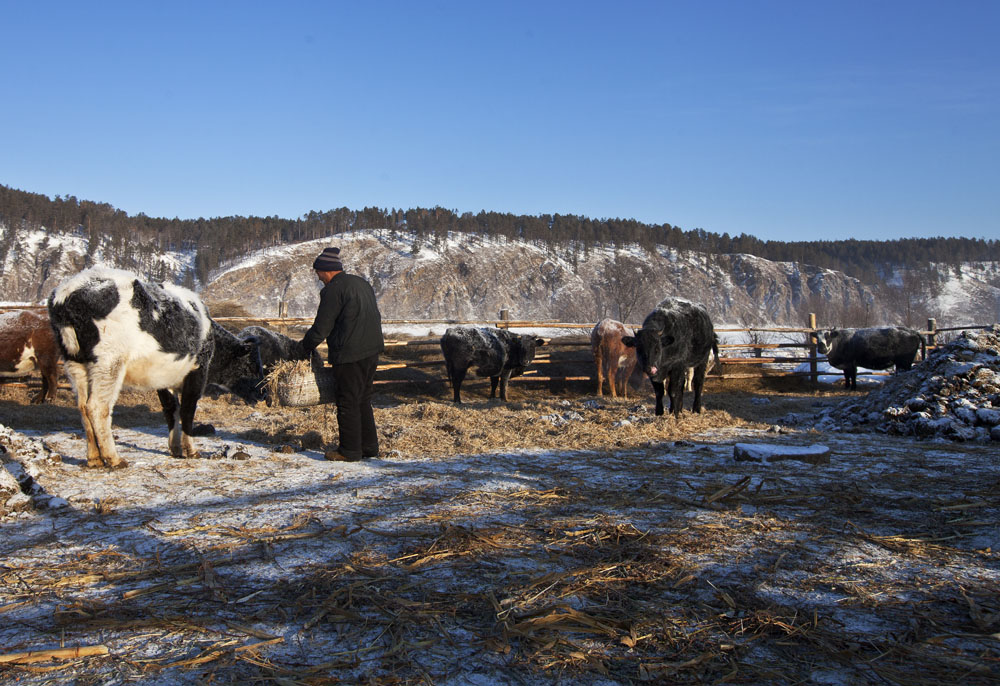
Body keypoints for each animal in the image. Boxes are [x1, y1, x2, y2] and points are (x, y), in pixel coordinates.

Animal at [47, 268, 266, 468]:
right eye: (252, 365)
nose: (263, 394)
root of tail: (67, 293)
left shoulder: (164, 376)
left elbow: (171, 410)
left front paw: (176, 449)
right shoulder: (197, 372)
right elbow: (187, 411)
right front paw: (191, 450)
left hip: (75, 364)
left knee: (82, 407)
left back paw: (94, 459)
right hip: (109, 363)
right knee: (97, 407)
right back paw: (114, 458)